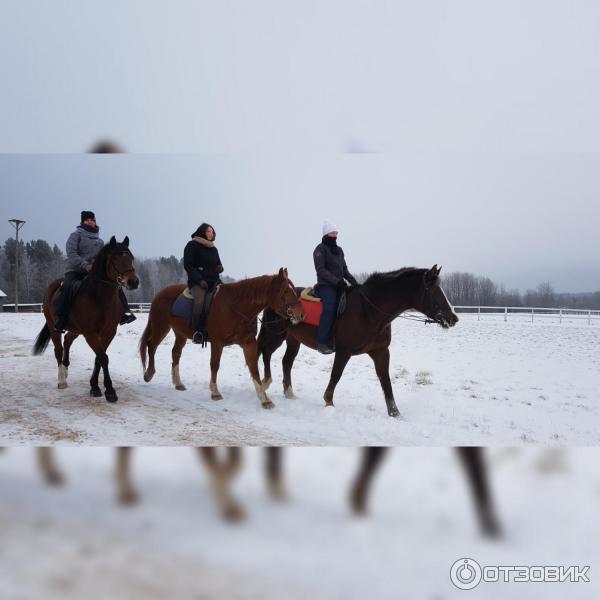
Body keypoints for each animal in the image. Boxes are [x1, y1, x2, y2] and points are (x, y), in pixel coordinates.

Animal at [33, 236, 140, 404]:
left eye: (131, 258)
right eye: (114, 258)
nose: (133, 282)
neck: (100, 298)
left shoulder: (108, 332)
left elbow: (99, 358)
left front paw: (94, 386)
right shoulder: (90, 333)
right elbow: (103, 358)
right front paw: (109, 391)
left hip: (75, 330)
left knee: (67, 341)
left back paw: (66, 368)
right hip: (53, 326)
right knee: (59, 349)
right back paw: (62, 380)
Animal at [138, 270, 302, 410]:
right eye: (285, 291)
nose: (301, 314)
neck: (235, 307)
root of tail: (159, 293)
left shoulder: (248, 343)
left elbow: (254, 368)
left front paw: (264, 399)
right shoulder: (217, 343)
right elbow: (215, 365)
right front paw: (215, 392)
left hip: (180, 333)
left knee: (175, 353)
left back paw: (178, 383)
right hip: (161, 327)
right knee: (151, 346)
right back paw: (148, 374)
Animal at [255, 266, 458, 418]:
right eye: (433, 290)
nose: (453, 318)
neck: (369, 310)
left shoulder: (381, 352)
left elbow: (385, 380)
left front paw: (395, 413)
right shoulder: (343, 351)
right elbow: (336, 375)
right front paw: (329, 402)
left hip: (293, 340)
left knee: (286, 362)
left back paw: (289, 393)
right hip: (275, 334)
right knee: (265, 353)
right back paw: (264, 384)